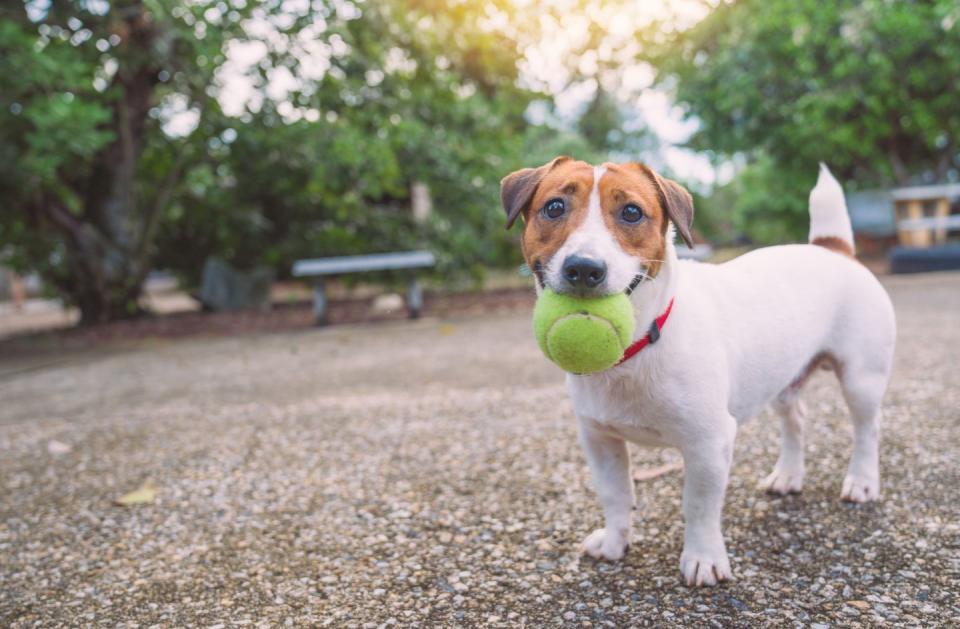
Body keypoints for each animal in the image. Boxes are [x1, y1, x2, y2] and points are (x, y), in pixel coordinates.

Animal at [498, 157, 896, 584]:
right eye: (554, 207)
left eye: (631, 212)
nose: (584, 269)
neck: (640, 344)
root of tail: (833, 249)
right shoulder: (599, 440)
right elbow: (615, 494)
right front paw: (615, 542)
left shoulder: (708, 444)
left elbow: (700, 507)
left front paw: (703, 557)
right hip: (782, 379)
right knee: (796, 420)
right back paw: (788, 476)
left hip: (860, 380)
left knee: (867, 430)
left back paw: (862, 482)